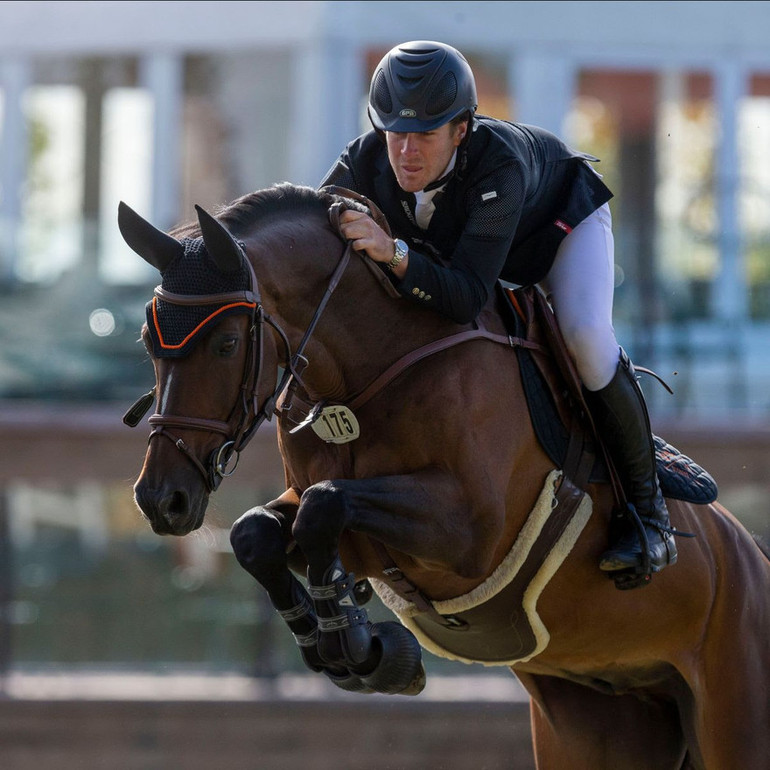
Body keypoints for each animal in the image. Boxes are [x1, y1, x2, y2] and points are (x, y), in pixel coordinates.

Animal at [118, 184, 768, 768]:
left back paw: (647, 538)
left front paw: (358, 644)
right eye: (148, 340)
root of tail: (749, 557)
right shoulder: (320, 502)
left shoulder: (469, 532)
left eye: (228, 343)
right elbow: (260, 531)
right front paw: (341, 641)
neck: (365, 374)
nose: (161, 499)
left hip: (733, 716)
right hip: (598, 722)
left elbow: (325, 507)